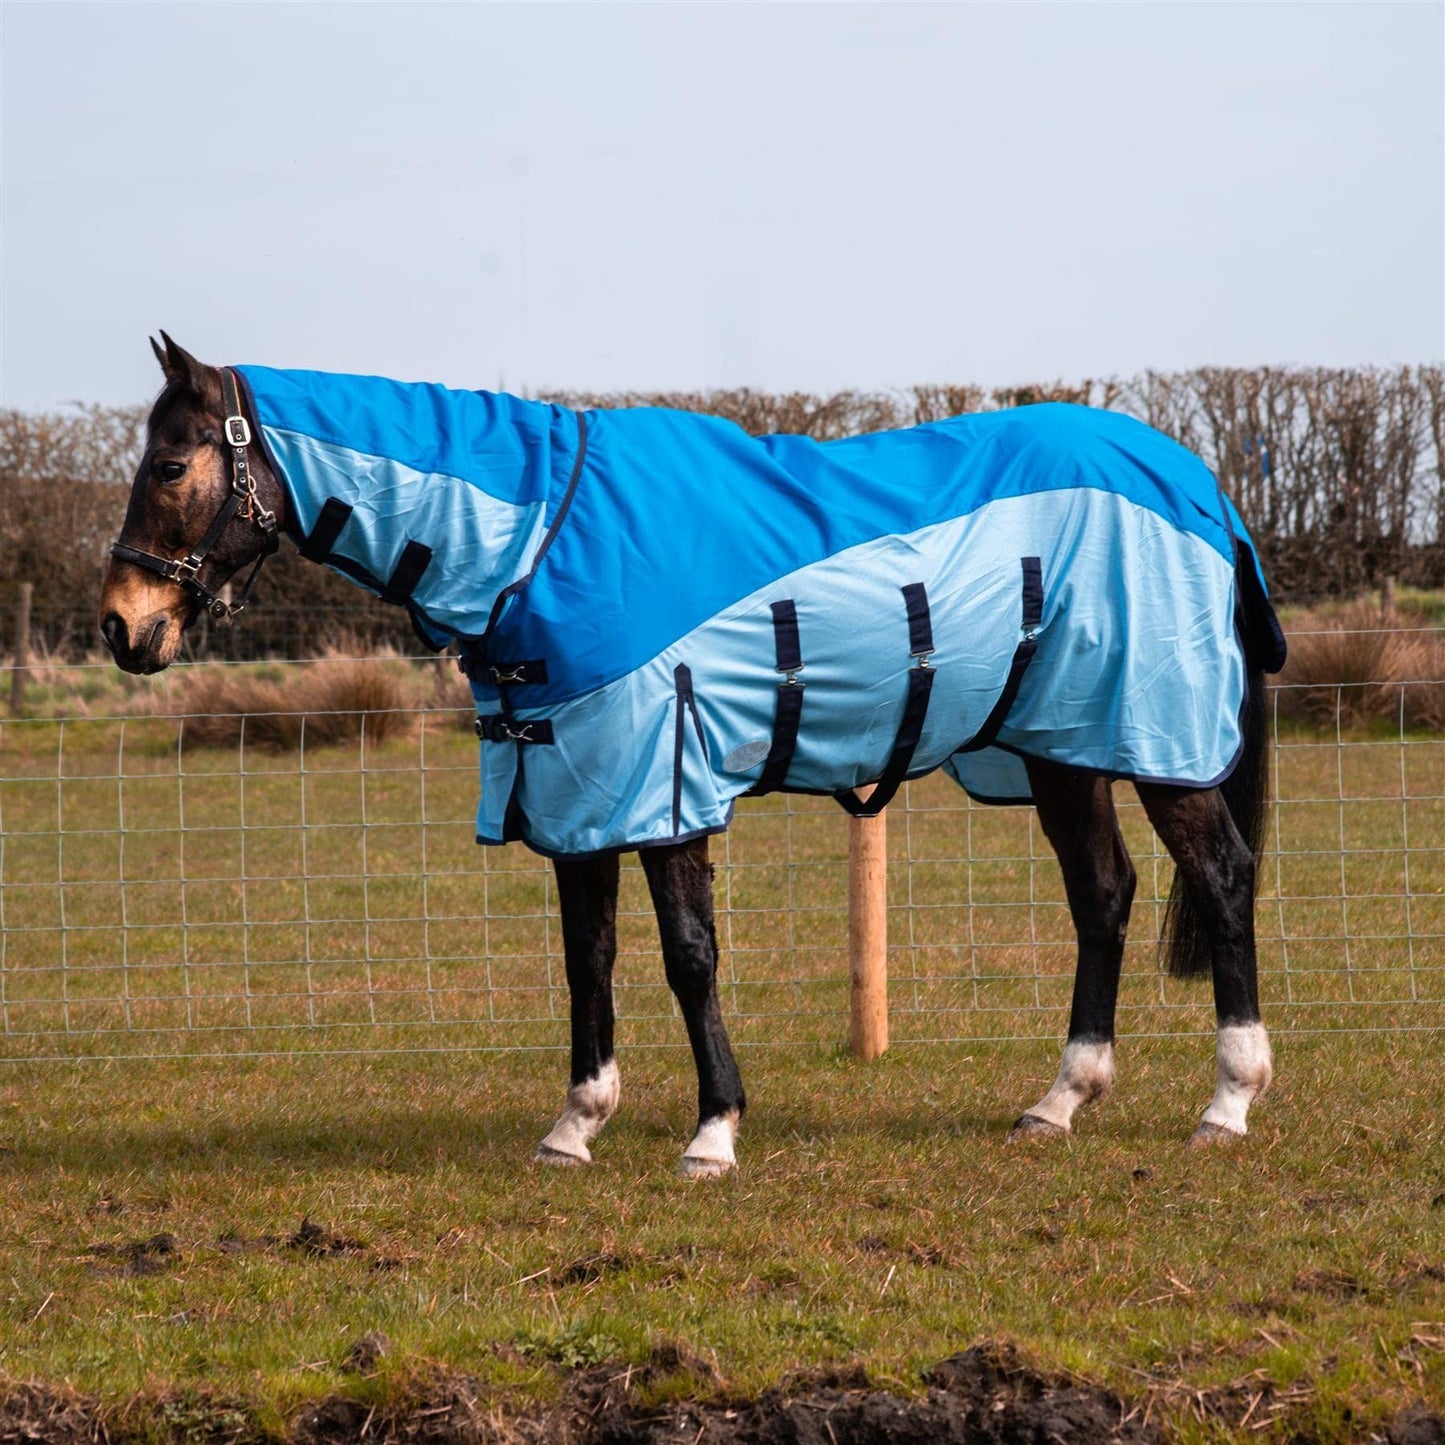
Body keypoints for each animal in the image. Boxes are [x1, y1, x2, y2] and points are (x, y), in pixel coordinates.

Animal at [99, 334, 1287, 1175]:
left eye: (170, 463)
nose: (120, 625)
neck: (540, 538)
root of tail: (1197, 484)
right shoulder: (571, 787)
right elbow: (588, 959)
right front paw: (575, 1124)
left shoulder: (660, 778)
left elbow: (687, 956)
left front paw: (712, 1131)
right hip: (1060, 746)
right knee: (1103, 893)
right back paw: (1060, 1098)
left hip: (1152, 741)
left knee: (1220, 876)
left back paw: (1228, 1099)